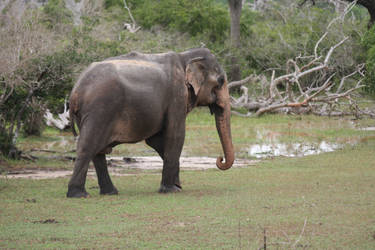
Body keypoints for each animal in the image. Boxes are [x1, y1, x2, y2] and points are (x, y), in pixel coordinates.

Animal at [66, 47, 234, 198]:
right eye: (220, 81)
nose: (220, 158)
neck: (185, 56)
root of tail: (75, 91)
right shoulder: (177, 94)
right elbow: (176, 135)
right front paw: (171, 190)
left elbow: (156, 141)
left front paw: (177, 186)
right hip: (100, 109)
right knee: (88, 146)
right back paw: (79, 195)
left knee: (98, 151)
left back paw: (110, 192)